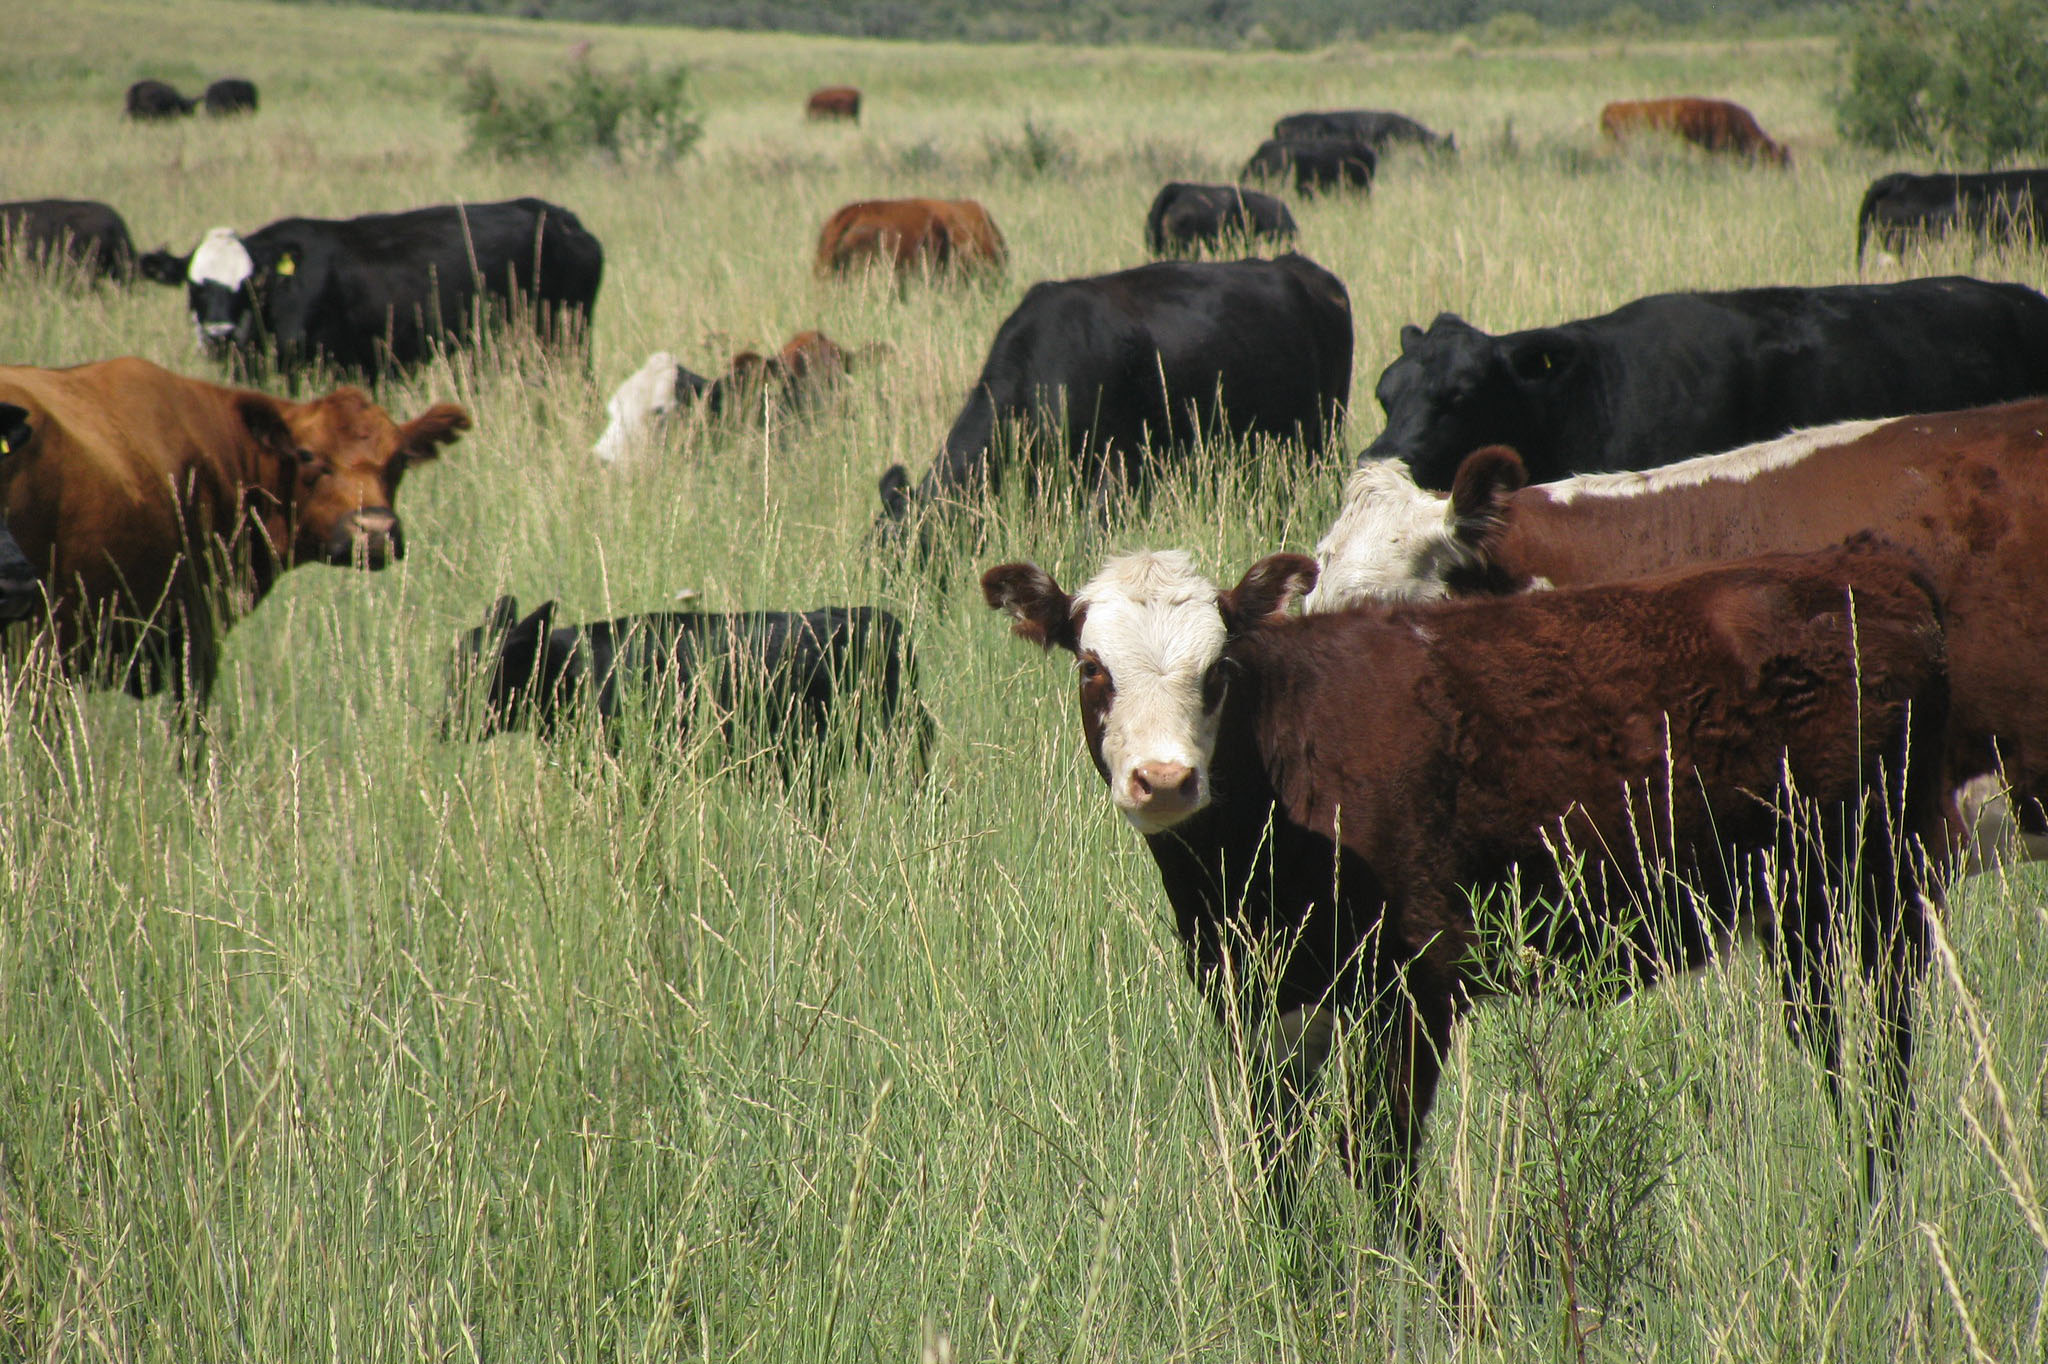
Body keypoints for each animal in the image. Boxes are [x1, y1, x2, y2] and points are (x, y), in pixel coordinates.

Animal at [984, 539, 1954, 1225]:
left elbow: (1373, 1153)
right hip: (1802, 914)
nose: (1165, 779)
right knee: (1836, 1052)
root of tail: (1868, 567)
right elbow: (1277, 1157)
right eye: (1092, 668)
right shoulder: (1264, 992)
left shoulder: (1420, 976)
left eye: (1217, 671)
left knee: (1887, 1059)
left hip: (1878, 888)